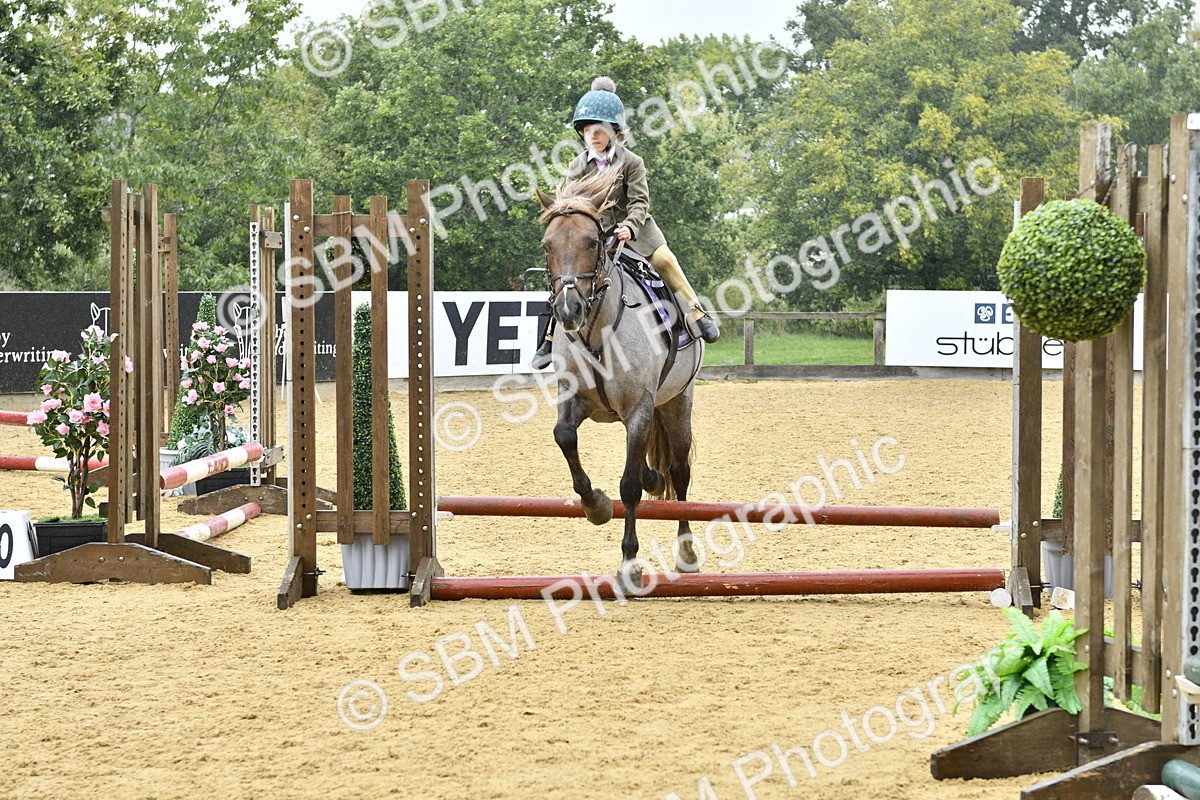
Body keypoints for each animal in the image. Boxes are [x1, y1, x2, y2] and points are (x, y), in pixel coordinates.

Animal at [536, 171, 704, 594]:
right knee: (653, 468)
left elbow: (629, 486)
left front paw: (629, 564)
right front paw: (595, 504)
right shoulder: (575, 399)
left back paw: (687, 551)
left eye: (592, 242)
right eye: (547, 245)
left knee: (679, 472)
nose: (568, 310)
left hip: (677, 403)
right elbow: (564, 436)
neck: (598, 329)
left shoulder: (640, 408)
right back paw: (651, 478)